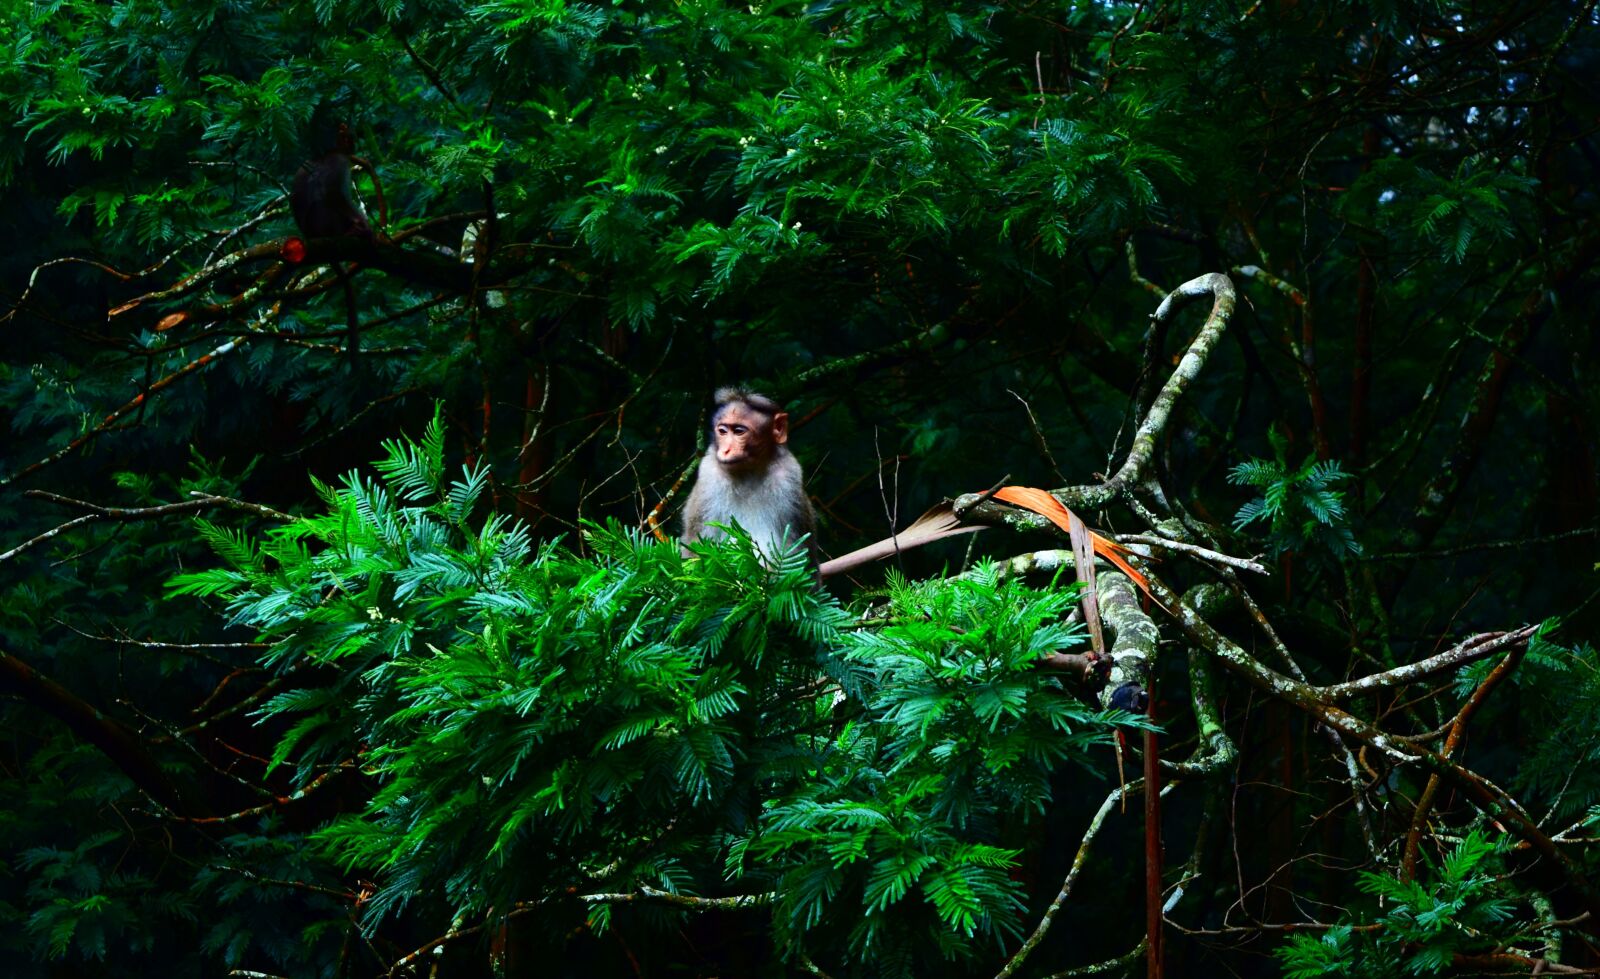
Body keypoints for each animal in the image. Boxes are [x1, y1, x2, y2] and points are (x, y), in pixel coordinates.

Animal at [681, 387, 817, 566]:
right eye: (722, 431)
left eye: (739, 431)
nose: (725, 450)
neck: (748, 472)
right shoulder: (709, 478)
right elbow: (696, 547)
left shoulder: (789, 477)